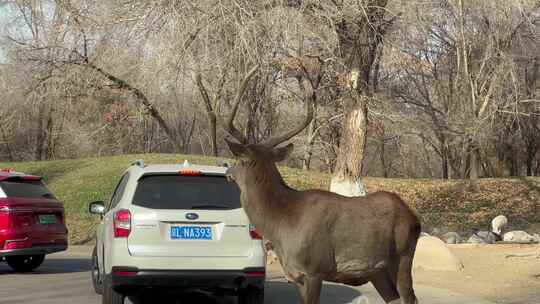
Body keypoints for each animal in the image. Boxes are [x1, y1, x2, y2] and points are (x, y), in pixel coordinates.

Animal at [217, 66, 420, 304]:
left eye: (239, 160)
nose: (227, 171)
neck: (282, 223)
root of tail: (414, 218)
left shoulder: (315, 269)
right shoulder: (296, 275)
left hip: (403, 255)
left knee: (410, 297)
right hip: (378, 271)